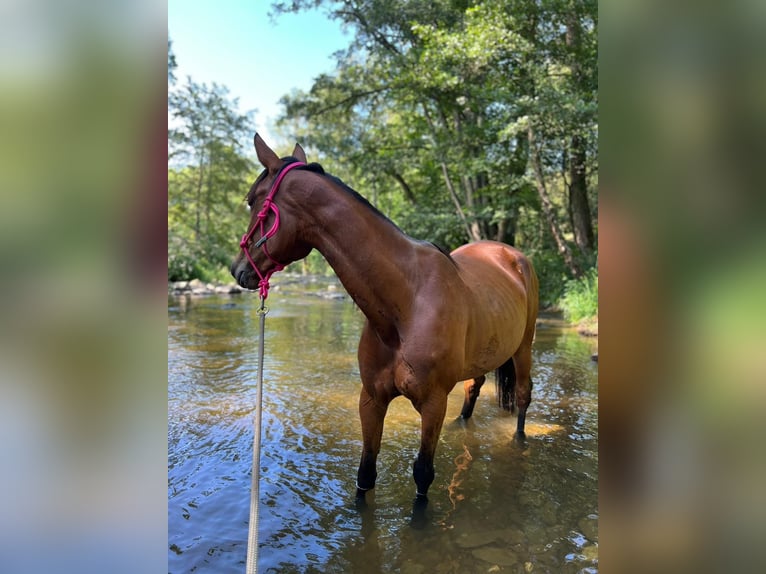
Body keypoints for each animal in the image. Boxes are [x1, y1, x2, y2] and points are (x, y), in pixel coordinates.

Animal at [232, 135, 540, 504]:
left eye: (252, 200)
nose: (237, 269)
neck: (406, 304)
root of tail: (512, 255)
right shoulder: (371, 399)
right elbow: (366, 472)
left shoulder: (433, 404)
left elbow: (423, 474)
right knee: (474, 388)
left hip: (523, 348)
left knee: (522, 394)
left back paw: (519, 439)